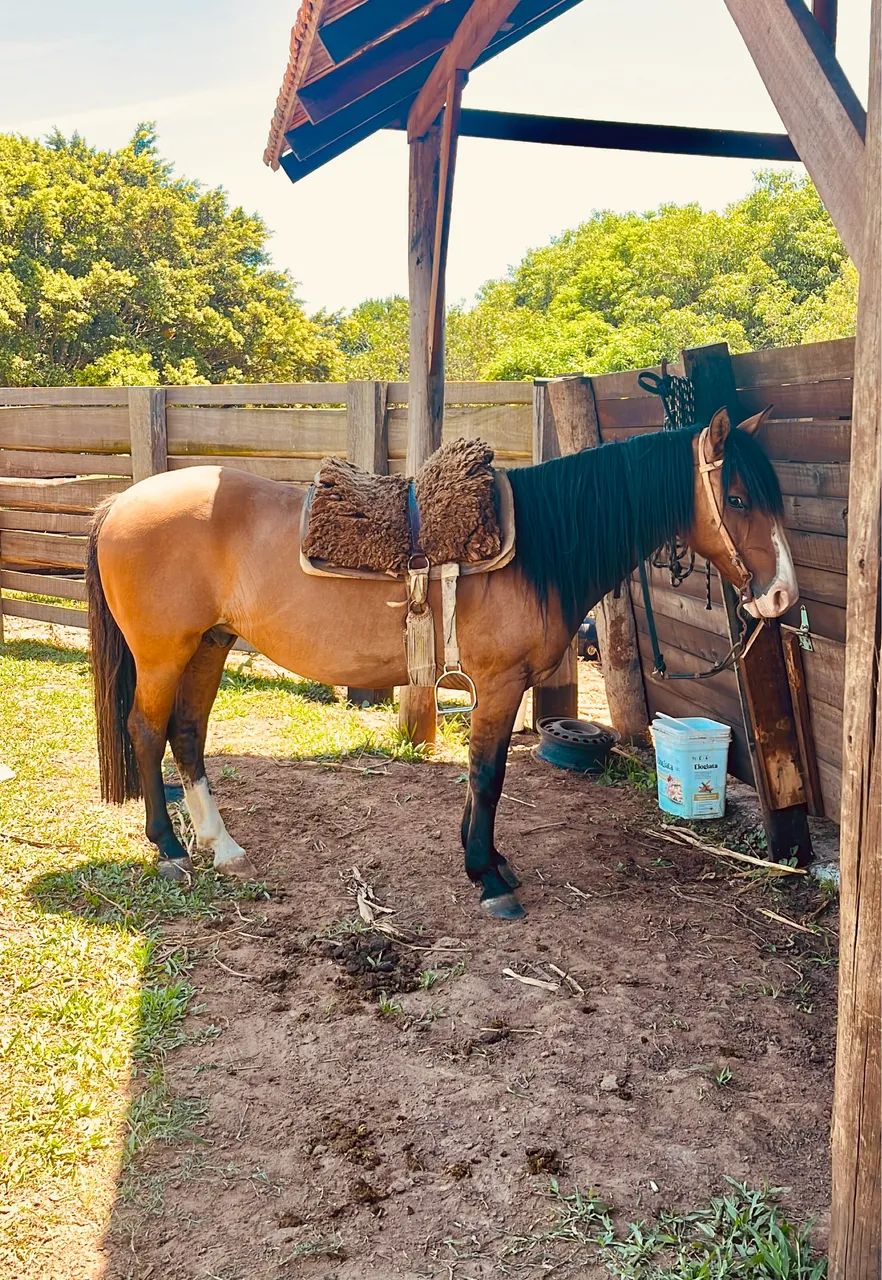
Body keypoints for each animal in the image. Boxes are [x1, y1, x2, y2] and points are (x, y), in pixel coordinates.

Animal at [86, 405, 797, 920]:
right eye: (738, 499)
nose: (782, 596)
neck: (536, 547)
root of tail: (120, 503)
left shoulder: (498, 687)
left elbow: (484, 774)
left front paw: (487, 858)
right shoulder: (501, 682)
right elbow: (487, 774)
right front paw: (488, 877)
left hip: (209, 644)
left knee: (187, 735)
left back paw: (221, 845)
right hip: (164, 654)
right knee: (146, 731)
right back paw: (169, 848)